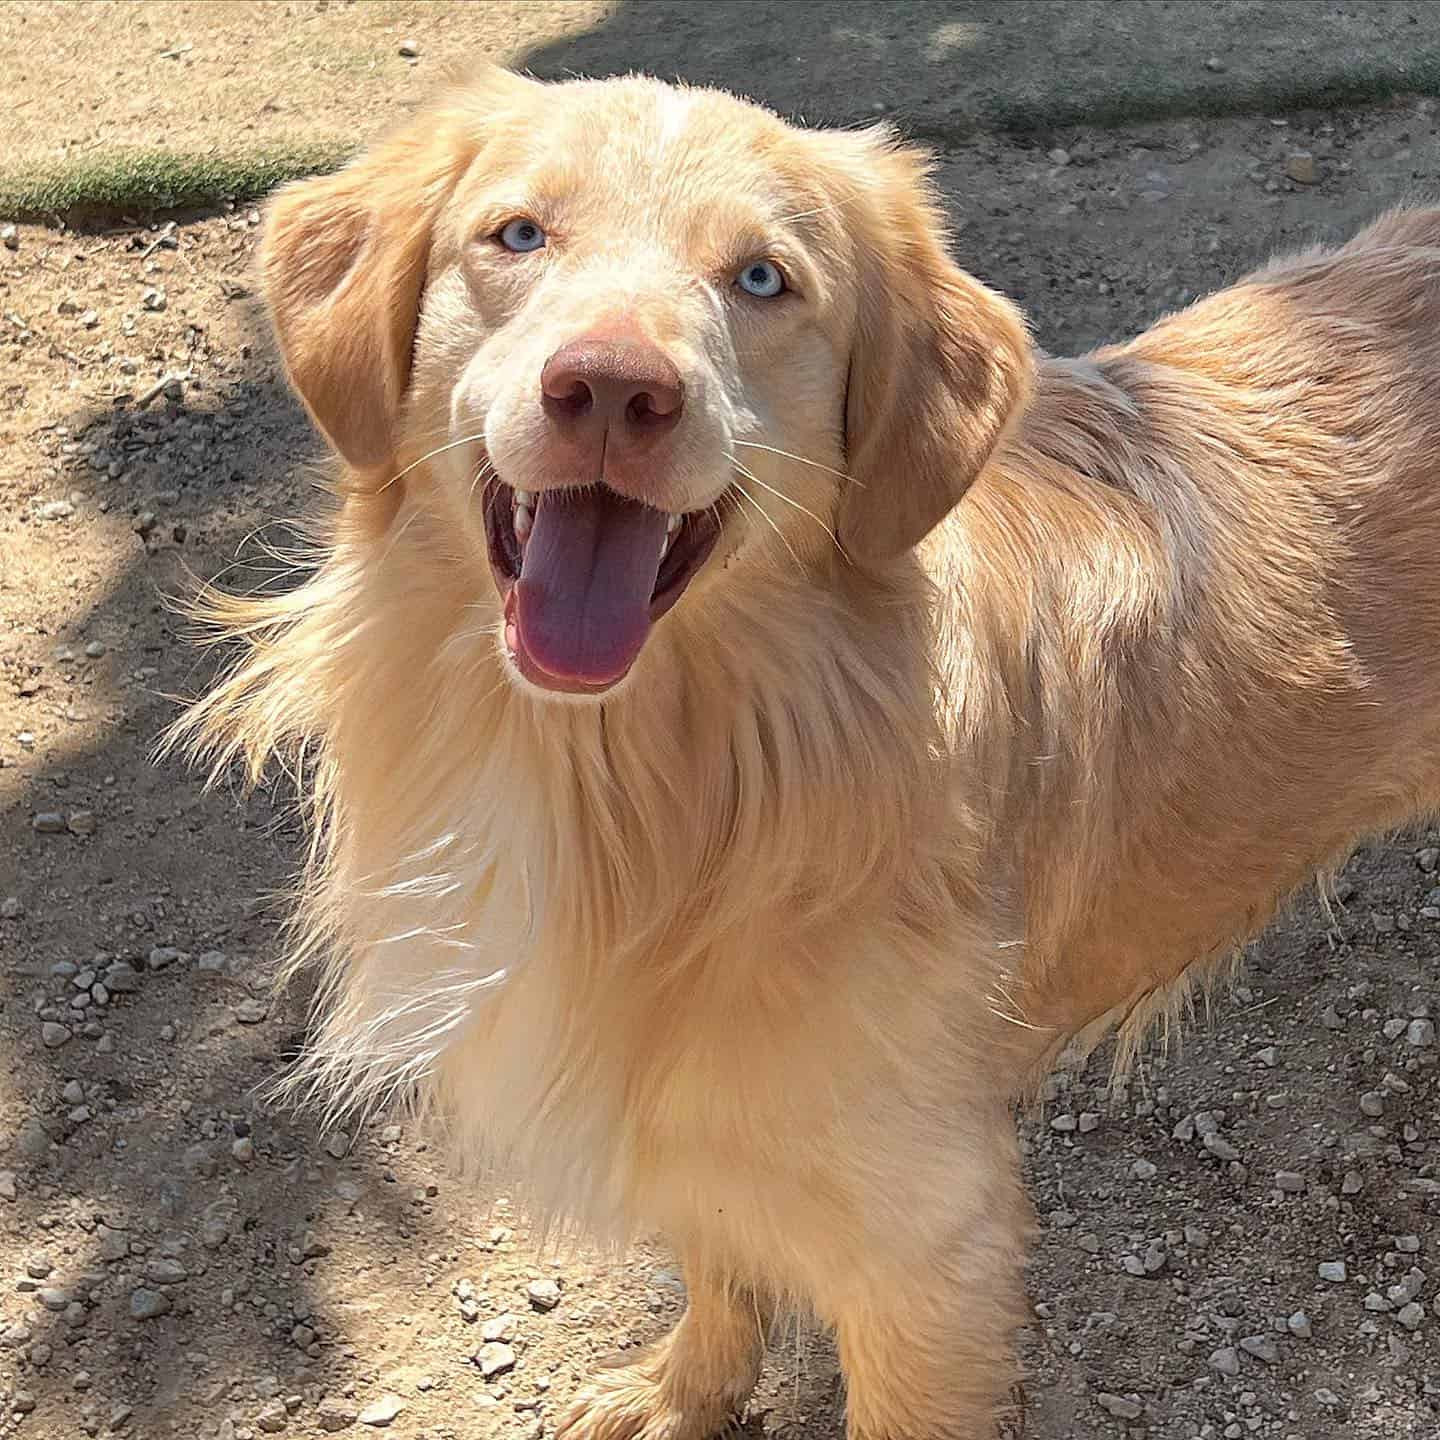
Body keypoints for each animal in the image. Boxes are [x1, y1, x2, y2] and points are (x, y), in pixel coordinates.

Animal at [174, 64, 1440, 1440]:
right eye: (517, 234)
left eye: (763, 279)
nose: (612, 387)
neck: (653, 779)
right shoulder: (696, 1114)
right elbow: (718, 1259)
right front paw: (682, 1392)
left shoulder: (927, 1247)